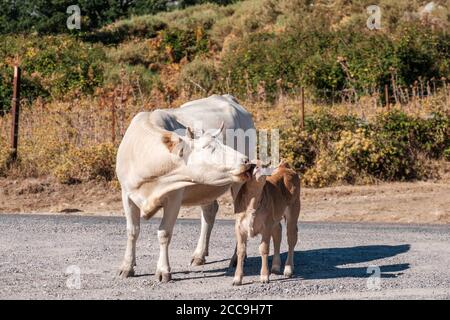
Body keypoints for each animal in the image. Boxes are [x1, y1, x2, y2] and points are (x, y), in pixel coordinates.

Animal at [116, 94, 255, 282]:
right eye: (209, 148)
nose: (246, 161)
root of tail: (227, 97)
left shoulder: (174, 197)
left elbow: (164, 233)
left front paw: (163, 270)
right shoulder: (126, 194)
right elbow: (132, 231)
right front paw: (127, 266)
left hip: (239, 184)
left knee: (241, 217)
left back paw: (236, 258)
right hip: (205, 189)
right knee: (209, 213)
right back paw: (199, 255)